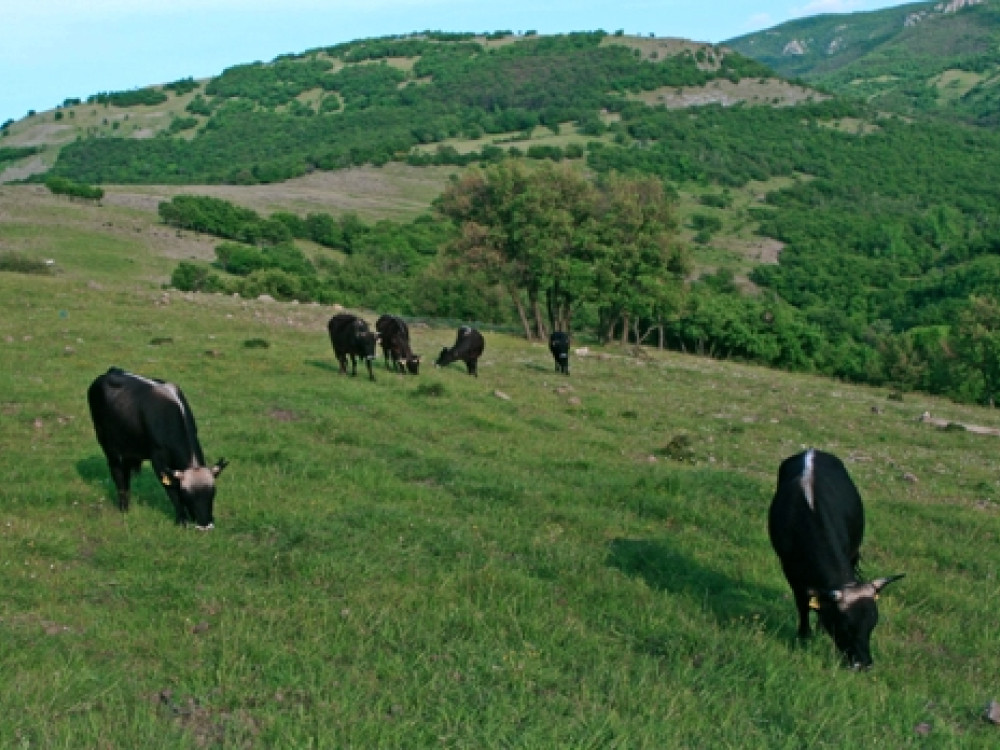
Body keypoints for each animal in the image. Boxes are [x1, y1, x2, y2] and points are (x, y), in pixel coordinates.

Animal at [86, 368, 229, 532]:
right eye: (187, 495)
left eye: (213, 493)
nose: (205, 526)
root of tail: (110, 371)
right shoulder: (158, 459)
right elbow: (171, 489)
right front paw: (182, 520)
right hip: (107, 443)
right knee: (117, 471)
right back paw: (124, 507)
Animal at [768, 450, 904, 672]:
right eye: (844, 626)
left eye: (872, 625)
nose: (863, 664)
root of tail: (811, 451)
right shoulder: (789, 568)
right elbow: (802, 603)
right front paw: (804, 636)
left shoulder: (850, 552)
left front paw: (819, 630)